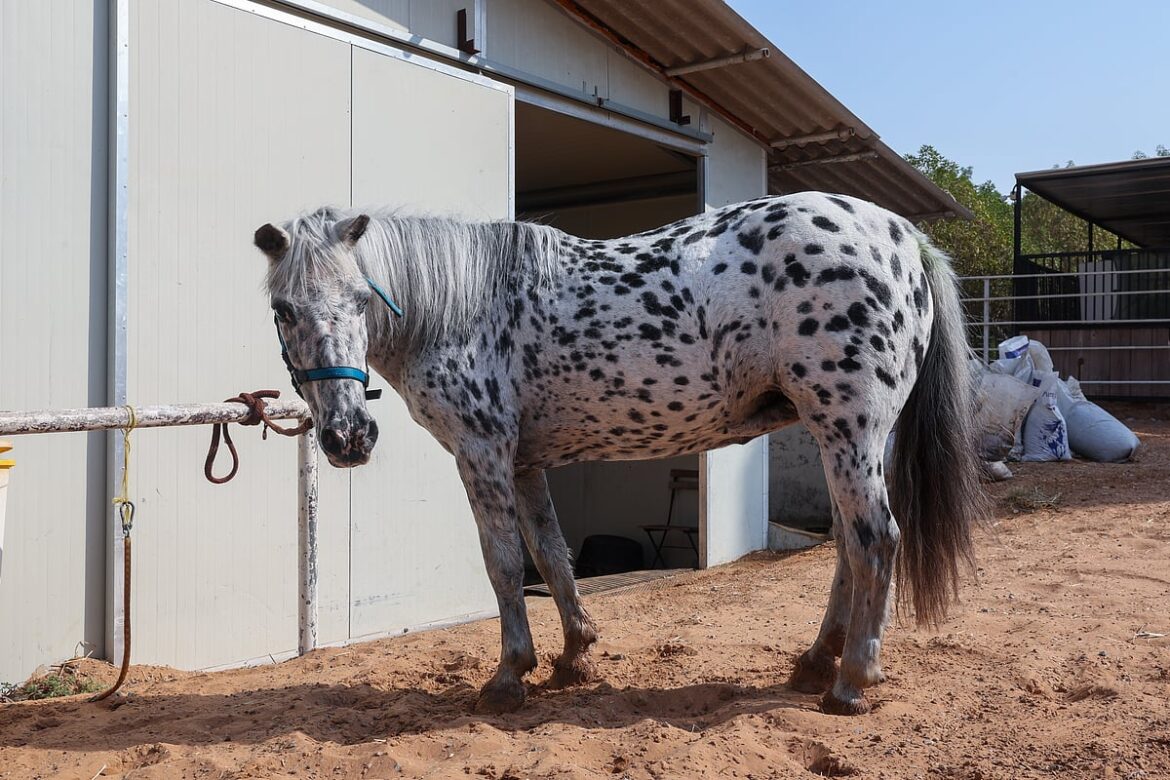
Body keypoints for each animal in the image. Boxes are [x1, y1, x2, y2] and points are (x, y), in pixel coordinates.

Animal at [252, 191, 985, 716]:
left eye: (360, 298)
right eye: (284, 309)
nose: (349, 438)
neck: (461, 311)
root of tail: (903, 237)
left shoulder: (482, 452)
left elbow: (503, 564)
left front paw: (509, 675)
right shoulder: (524, 462)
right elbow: (550, 555)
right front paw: (574, 655)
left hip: (849, 428)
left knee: (876, 541)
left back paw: (852, 681)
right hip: (842, 435)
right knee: (847, 546)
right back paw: (813, 664)